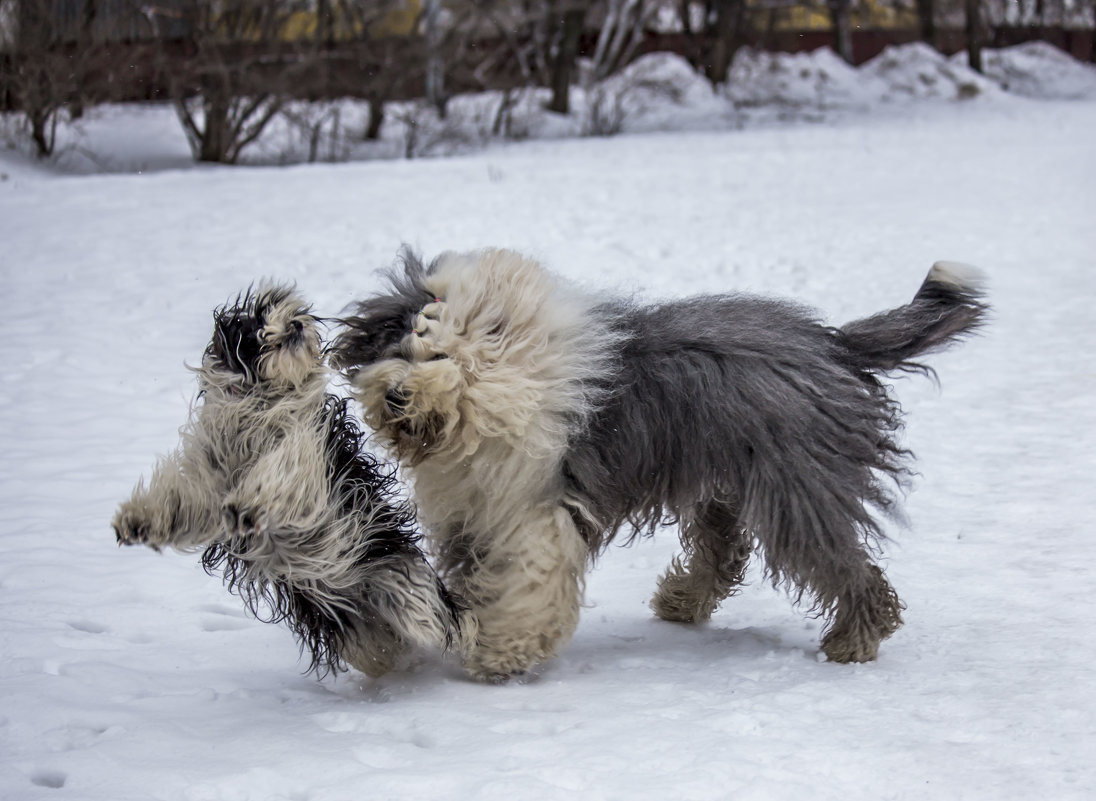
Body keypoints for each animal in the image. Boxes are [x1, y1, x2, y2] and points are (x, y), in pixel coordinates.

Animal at [113, 287, 473, 674]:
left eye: (283, 309)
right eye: (256, 323)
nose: (296, 323)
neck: (257, 408)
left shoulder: (306, 450)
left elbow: (280, 470)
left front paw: (249, 506)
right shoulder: (210, 475)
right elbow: (186, 503)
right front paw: (137, 522)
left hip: (392, 571)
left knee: (432, 615)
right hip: (338, 617)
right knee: (375, 645)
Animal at [328, 252, 990, 683]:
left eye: (439, 355)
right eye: (400, 347)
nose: (395, 396)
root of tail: (834, 343)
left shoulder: (536, 516)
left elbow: (530, 586)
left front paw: (501, 654)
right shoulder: (474, 513)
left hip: (796, 489)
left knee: (844, 566)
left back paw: (854, 640)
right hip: (728, 483)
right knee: (724, 554)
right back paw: (681, 602)